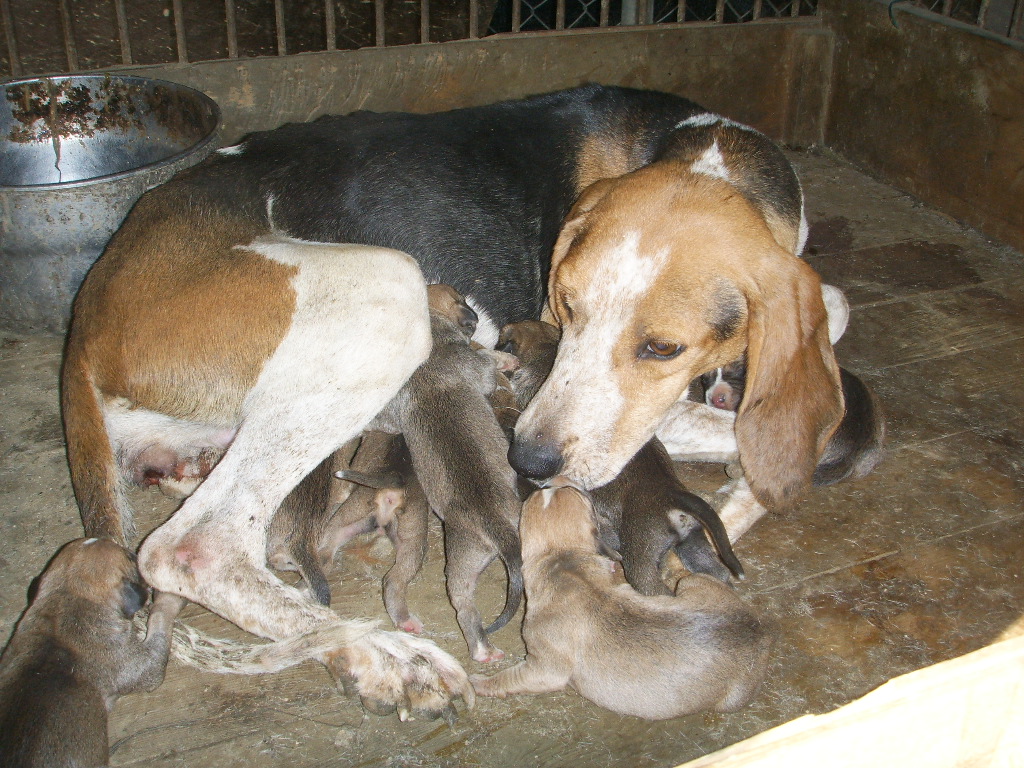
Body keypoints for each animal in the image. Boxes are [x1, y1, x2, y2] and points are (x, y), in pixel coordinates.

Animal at [0, 538, 181, 768]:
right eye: (130, 558)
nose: (137, 553)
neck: (65, 602)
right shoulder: (146, 664)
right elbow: (160, 621)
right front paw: (169, 597)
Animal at [369, 285, 523, 662]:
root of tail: (500, 530)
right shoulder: (477, 366)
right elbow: (487, 361)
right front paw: (505, 360)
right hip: (461, 562)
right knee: (465, 608)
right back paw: (483, 650)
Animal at [471, 484, 773, 719]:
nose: (552, 482)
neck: (562, 558)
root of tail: (760, 629)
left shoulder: (543, 668)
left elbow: (509, 677)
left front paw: (479, 683)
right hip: (696, 584)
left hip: (732, 698)